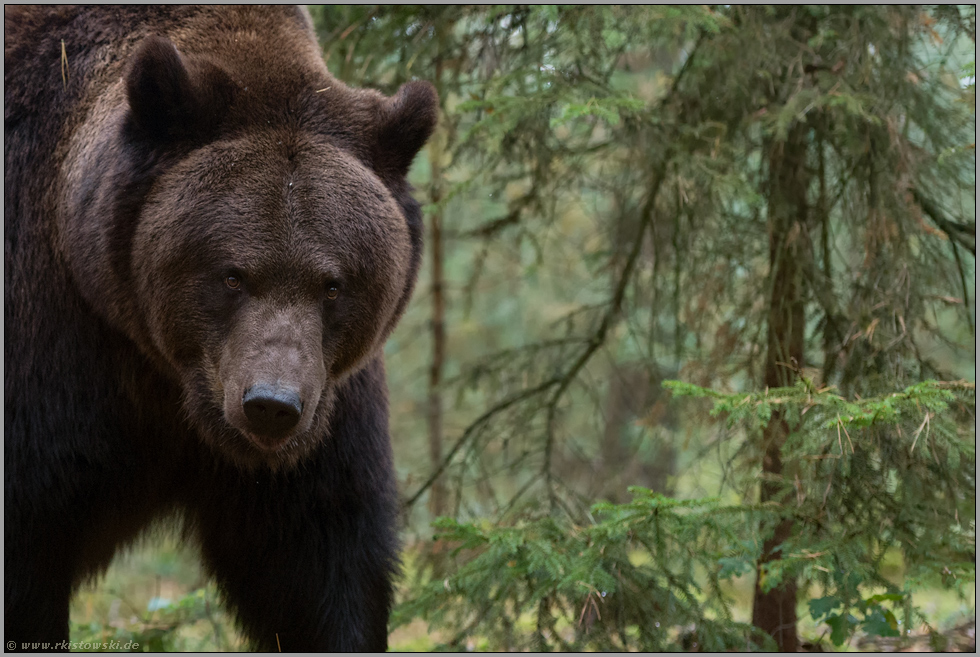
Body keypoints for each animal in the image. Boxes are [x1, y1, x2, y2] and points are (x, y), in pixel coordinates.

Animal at [2, 6, 432, 652]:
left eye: (332, 284)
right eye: (233, 274)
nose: (272, 406)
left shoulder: (325, 412)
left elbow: (319, 561)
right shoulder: (52, 353)